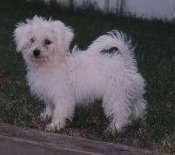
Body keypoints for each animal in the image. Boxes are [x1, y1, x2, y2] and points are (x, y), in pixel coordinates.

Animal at [14, 15, 146, 133]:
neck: (49, 64)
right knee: (138, 105)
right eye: (32, 40)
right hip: (129, 92)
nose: (36, 52)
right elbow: (51, 107)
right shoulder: (49, 93)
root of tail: (126, 62)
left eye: (47, 42)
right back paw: (137, 119)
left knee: (121, 112)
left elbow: (60, 111)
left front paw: (55, 125)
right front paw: (45, 116)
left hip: (116, 95)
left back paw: (115, 128)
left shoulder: (62, 95)